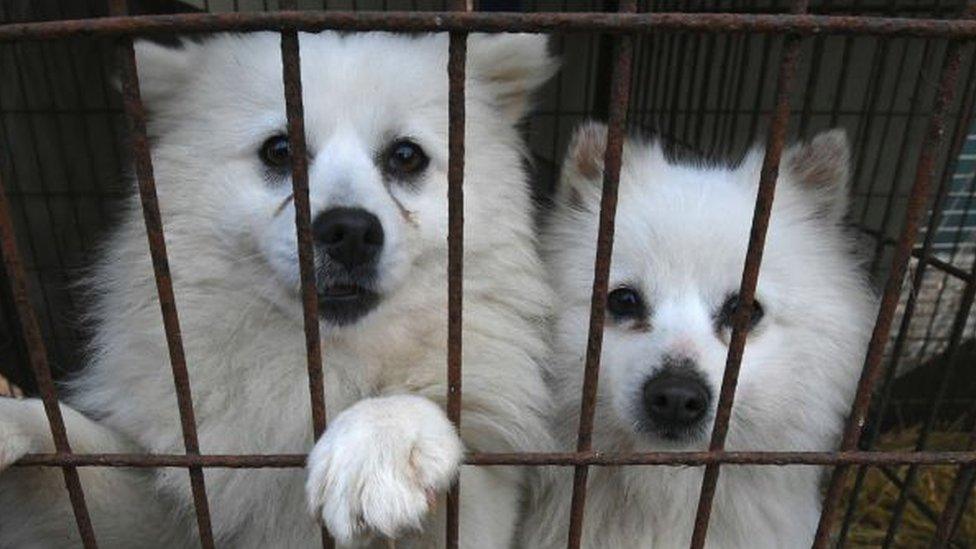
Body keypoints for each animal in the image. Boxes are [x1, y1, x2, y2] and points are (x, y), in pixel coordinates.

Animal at [0, 31, 556, 548]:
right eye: (279, 150)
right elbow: (72, 447)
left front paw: (378, 442)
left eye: (406, 156)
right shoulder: (179, 502)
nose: (350, 231)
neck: (322, 365)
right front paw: (12, 418)